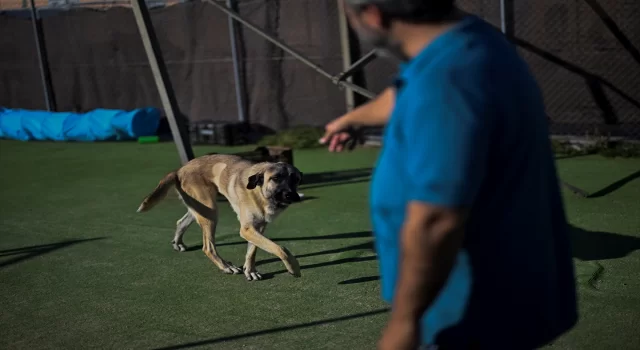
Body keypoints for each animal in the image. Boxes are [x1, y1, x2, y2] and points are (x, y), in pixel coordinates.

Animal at [136, 154, 302, 280]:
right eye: (276, 178)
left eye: (295, 179)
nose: (292, 195)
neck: (260, 193)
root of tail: (179, 170)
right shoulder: (247, 229)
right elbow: (280, 248)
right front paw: (294, 268)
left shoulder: (258, 228)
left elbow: (252, 251)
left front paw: (250, 271)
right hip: (210, 212)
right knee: (208, 247)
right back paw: (226, 266)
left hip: (201, 209)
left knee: (181, 222)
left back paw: (178, 242)